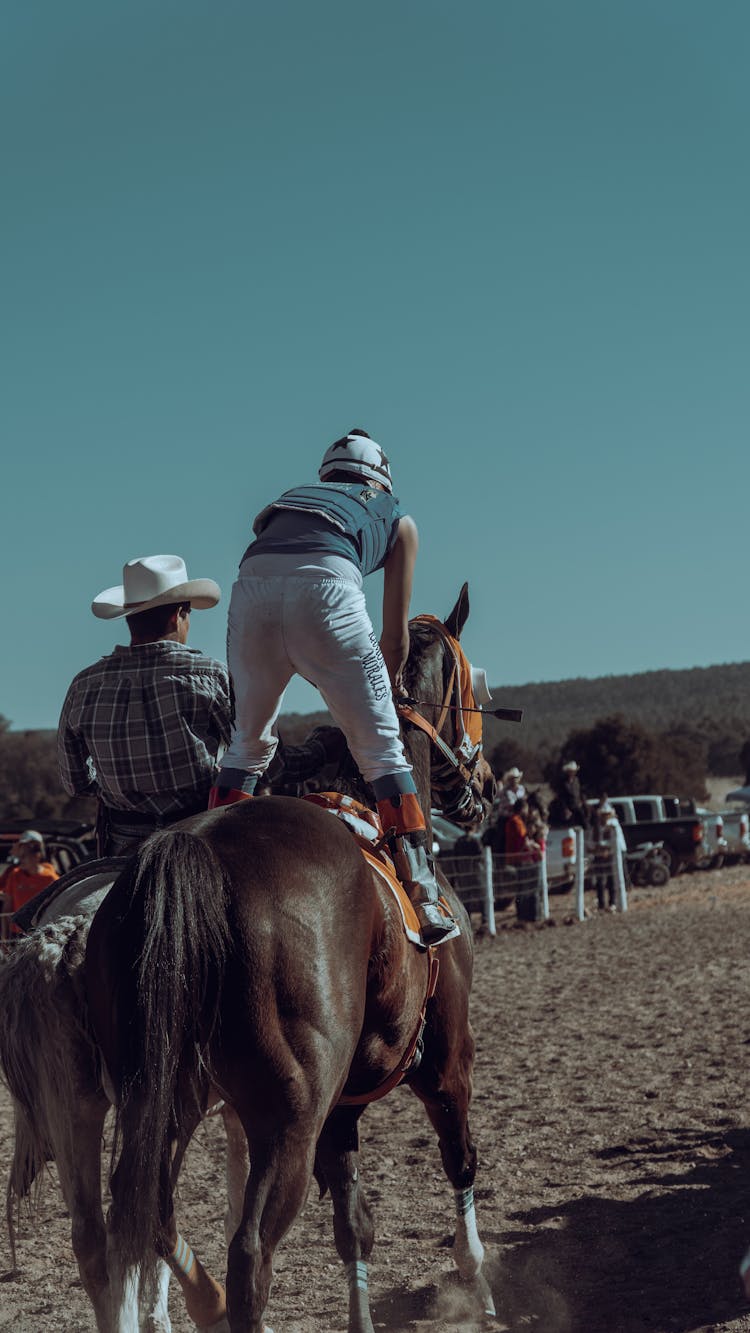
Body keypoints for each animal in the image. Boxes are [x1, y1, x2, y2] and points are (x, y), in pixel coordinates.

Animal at [82, 589, 495, 1333]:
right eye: (475, 687)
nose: (486, 787)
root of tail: (193, 853)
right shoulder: (446, 1057)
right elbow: (460, 1159)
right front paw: (477, 1281)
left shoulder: (342, 1107)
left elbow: (354, 1225)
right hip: (286, 1120)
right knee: (249, 1254)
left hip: (161, 1099)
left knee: (152, 1212)